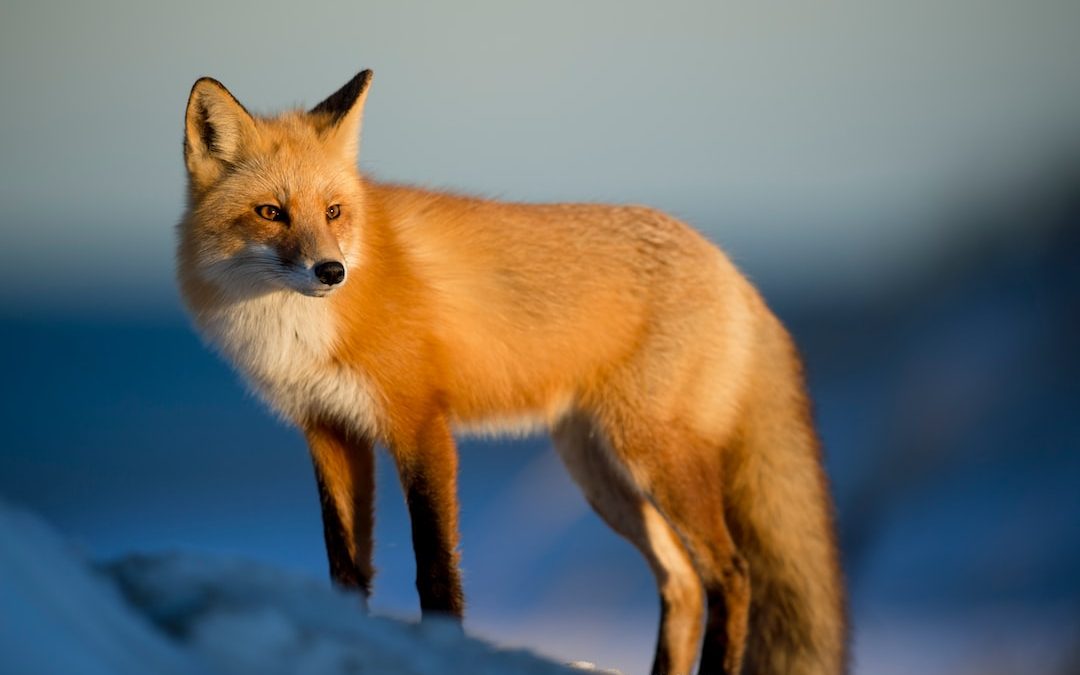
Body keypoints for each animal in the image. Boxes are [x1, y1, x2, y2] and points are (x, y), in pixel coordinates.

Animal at [177, 69, 846, 673]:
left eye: (334, 211)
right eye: (271, 212)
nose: (331, 271)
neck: (298, 329)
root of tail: (732, 270)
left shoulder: (420, 425)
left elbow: (435, 569)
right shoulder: (329, 430)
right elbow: (346, 567)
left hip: (653, 457)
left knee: (731, 575)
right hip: (602, 475)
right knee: (681, 583)